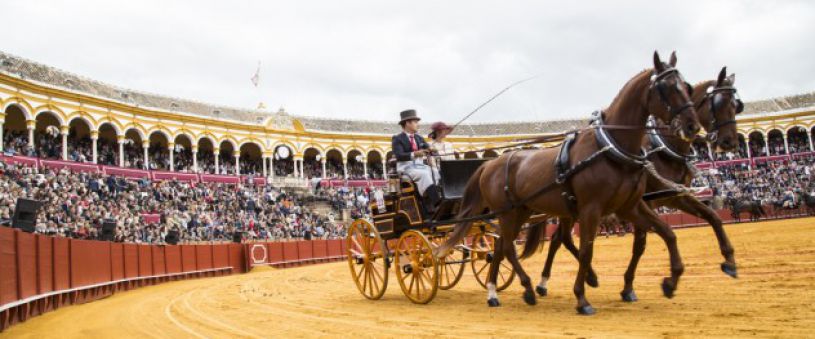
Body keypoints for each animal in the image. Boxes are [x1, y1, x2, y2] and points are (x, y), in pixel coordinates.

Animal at [436, 51, 704, 316]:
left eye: (687, 87)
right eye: (666, 87)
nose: (693, 125)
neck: (611, 148)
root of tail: (489, 164)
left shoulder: (630, 206)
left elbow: (667, 233)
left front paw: (670, 282)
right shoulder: (592, 209)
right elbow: (587, 250)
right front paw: (582, 298)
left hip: (520, 212)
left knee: (502, 246)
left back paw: (496, 292)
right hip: (509, 213)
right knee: (510, 247)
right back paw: (527, 289)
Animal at [536, 67, 744, 302]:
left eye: (736, 105)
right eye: (718, 104)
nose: (730, 142)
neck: (663, 147)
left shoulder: (673, 195)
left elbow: (713, 216)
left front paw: (729, 261)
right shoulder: (646, 201)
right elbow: (641, 245)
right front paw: (629, 287)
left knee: (558, 239)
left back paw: (558, 280)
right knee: (562, 238)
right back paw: (568, 279)